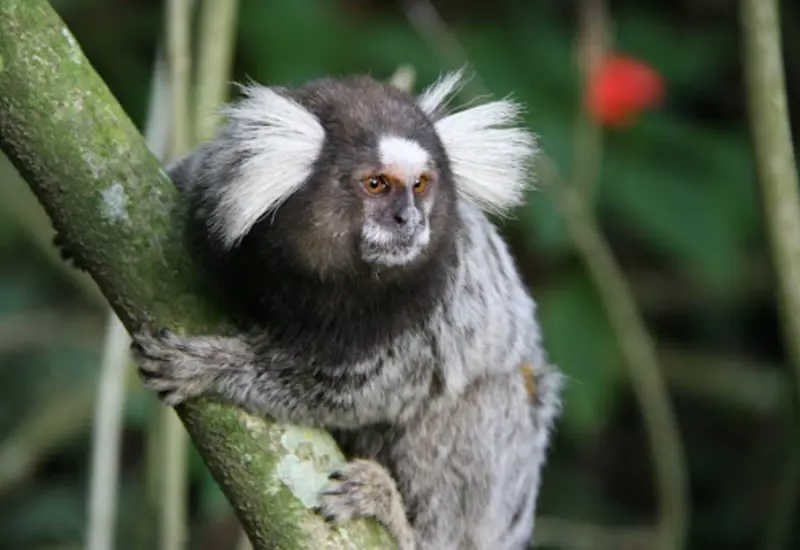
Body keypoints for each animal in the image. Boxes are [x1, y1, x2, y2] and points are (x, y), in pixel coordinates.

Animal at [131, 69, 563, 550]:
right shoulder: (213, 187)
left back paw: (401, 520)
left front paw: (212, 366)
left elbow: (354, 392)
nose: (409, 221)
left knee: (483, 400)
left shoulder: (432, 303)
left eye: (420, 185)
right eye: (376, 184)